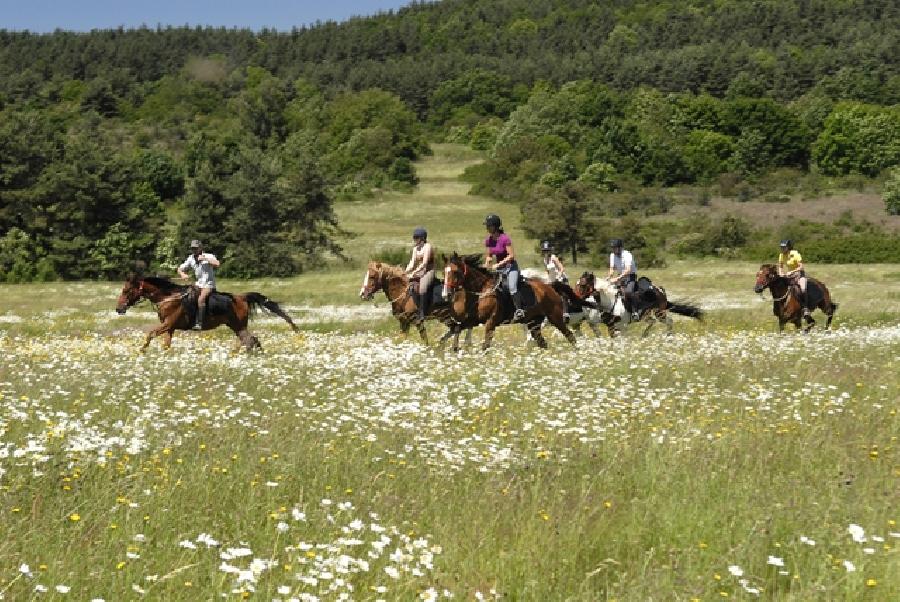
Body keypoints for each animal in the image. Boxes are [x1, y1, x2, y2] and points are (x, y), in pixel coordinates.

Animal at [114, 274, 298, 352]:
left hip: (238, 326)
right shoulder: (170, 328)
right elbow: (166, 345)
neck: (168, 297)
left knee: (250, 341)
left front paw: (142, 351)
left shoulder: (167, 324)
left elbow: (150, 334)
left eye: (126, 290)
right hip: (236, 326)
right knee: (251, 340)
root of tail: (242, 297)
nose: (118, 309)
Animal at [442, 251, 576, 350]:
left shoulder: (491, 322)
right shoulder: (472, 320)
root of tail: (550, 286)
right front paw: (455, 349)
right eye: (444, 272)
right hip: (534, 322)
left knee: (570, 335)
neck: (481, 291)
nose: (446, 294)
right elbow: (457, 329)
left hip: (555, 317)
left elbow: (485, 345)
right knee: (542, 342)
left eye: (455, 272)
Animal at [576, 270, 704, 336]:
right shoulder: (611, 325)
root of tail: (659, 289)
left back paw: (667, 335)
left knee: (668, 321)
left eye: (582, 284)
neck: (610, 301)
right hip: (647, 315)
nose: (575, 298)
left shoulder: (622, 325)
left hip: (659, 313)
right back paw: (645, 335)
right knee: (653, 322)